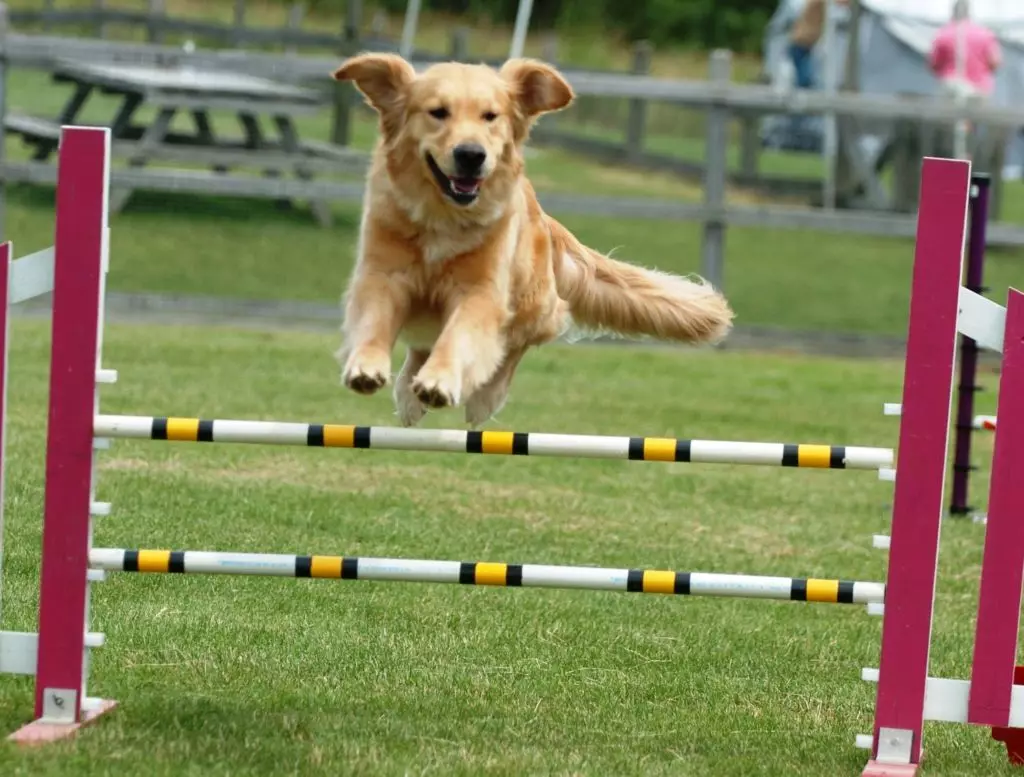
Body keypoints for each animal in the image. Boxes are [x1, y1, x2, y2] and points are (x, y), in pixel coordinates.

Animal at [331, 53, 733, 432]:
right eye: (438, 112)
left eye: (490, 116)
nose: (471, 155)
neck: (442, 217)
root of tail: (546, 220)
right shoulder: (382, 274)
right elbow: (373, 322)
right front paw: (365, 366)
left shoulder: (481, 292)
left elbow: (459, 338)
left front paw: (440, 381)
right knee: (425, 346)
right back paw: (408, 394)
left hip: (533, 302)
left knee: (515, 344)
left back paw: (482, 397)